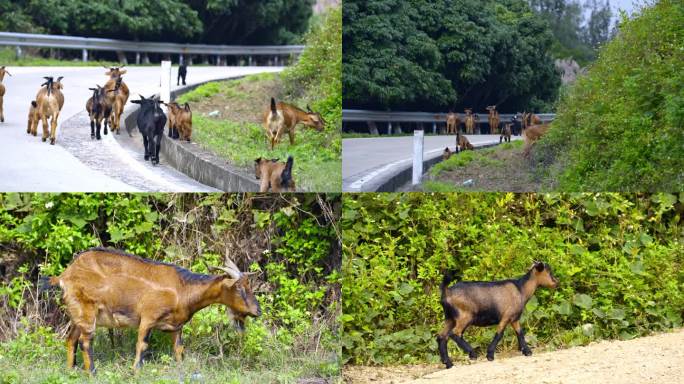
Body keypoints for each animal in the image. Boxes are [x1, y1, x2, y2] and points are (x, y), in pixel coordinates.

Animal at [42, 248, 262, 374]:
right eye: (240, 288)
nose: (257, 311)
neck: (182, 288)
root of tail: (64, 276)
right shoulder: (147, 318)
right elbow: (142, 345)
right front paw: (136, 371)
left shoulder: (176, 326)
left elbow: (178, 349)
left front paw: (180, 368)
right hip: (87, 311)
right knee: (85, 342)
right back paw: (92, 372)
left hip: (76, 314)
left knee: (70, 339)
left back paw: (71, 370)